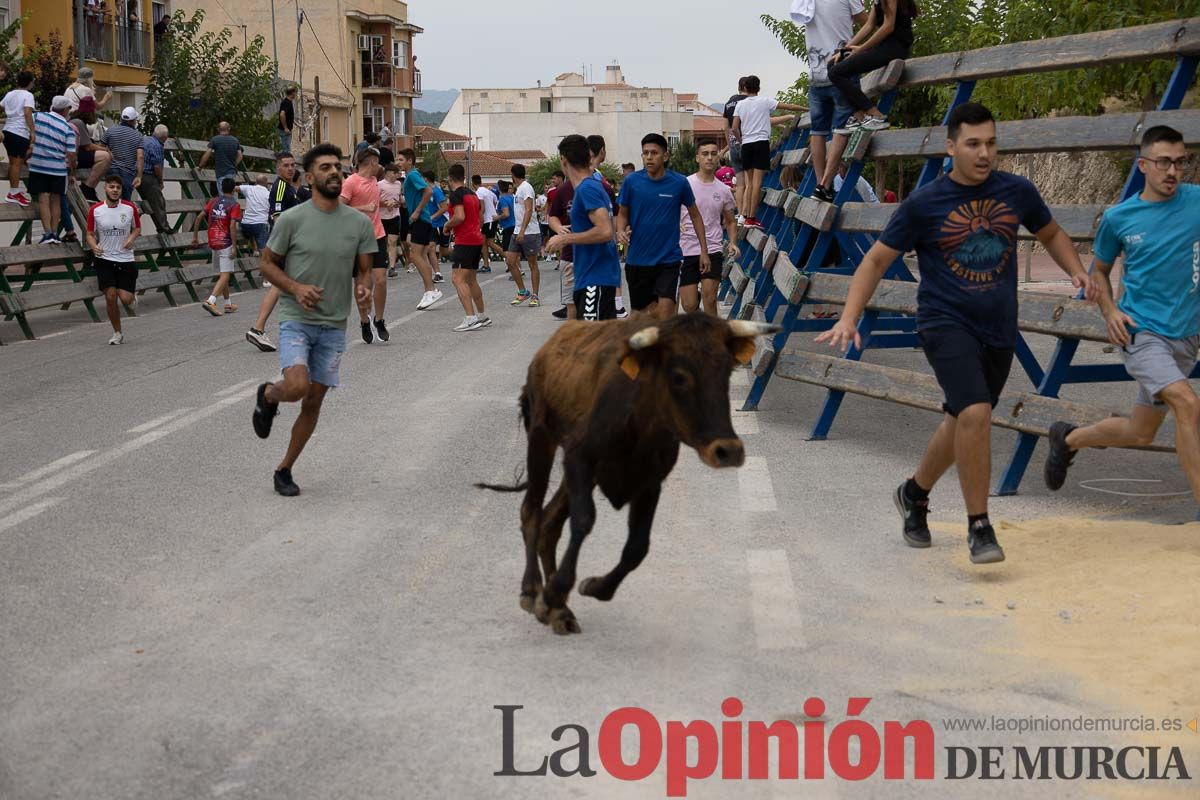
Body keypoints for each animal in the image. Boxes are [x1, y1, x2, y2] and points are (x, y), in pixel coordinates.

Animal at [480, 311, 777, 633]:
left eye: (726, 373)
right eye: (679, 376)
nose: (727, 450)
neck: (641, 419)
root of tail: (544, 352)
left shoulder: (649, 482)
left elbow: (637, 546)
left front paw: (593, 588)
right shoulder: (579, 458)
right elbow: (583, 520)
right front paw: (556, 590)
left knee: (550, 521)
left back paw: (559, 612)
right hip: (541, 438)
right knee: (532, 511)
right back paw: (532, 590)